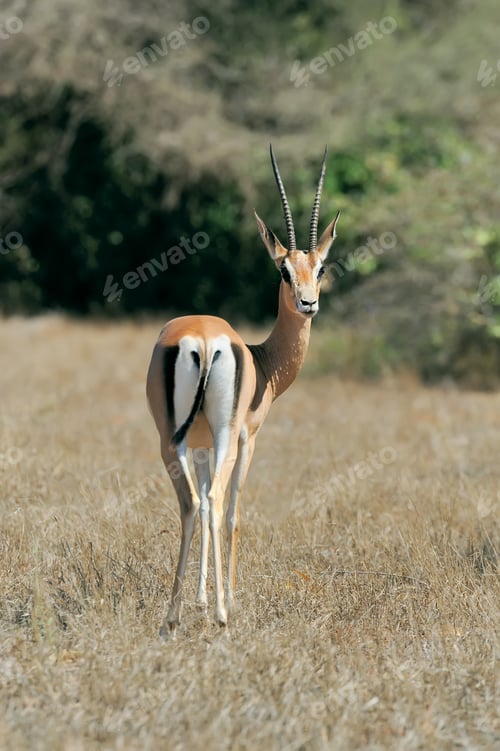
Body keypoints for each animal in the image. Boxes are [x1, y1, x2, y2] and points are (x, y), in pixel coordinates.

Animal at [146, 145, 340, 634]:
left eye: (319, 267)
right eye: (283, 270)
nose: (309, 303)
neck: (262, 360)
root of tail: (202, 340)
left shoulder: (199, 446)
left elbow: (204, 508)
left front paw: (200, 598)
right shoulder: (247, 437)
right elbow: (233, 510)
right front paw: (228, 600)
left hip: (170, 439)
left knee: (193, 502)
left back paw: (174, 615)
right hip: (224, 438)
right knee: (217, 501)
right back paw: (220, 614)